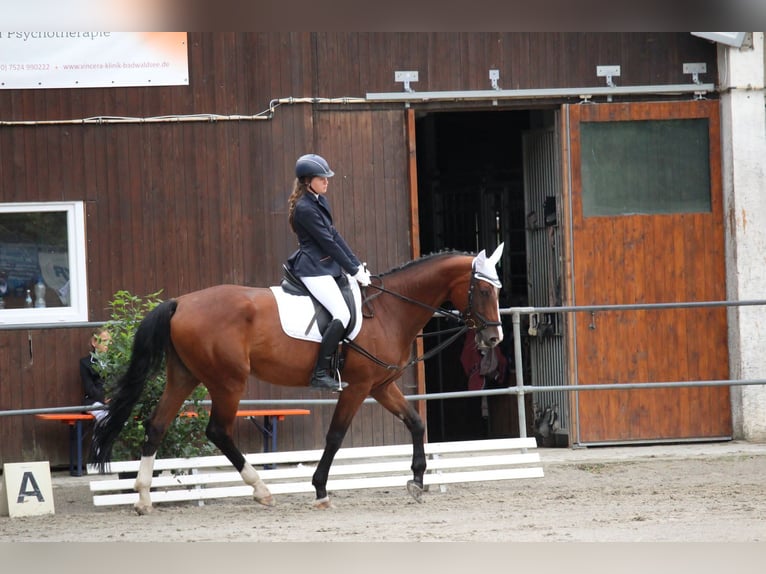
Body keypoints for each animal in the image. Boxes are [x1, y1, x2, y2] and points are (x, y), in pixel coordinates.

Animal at [92, 244, 505, 514]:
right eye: (484, 290)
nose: (494, 339)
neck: (390, 309)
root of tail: (181, 302)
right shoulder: (357, 388)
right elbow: (335, 436)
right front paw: (320, 489)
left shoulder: (381, 386)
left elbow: (416, 423)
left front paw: (417, 482)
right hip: (228, 381)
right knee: (218, 431)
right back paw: (261, 490)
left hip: (185, 375)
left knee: (156, 425)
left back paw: (143, 498)